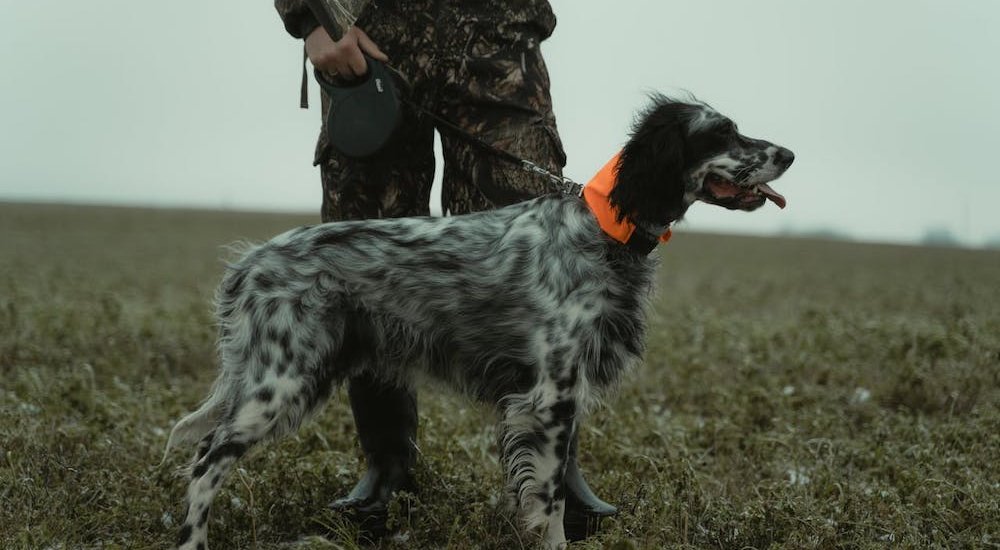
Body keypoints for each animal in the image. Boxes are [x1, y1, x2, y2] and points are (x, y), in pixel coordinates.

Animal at [166, 97, 796, 548]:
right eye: (722, 133)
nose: (789, 154)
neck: (602, 228)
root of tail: (250, 262)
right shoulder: (548, 398)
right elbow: (549, 500)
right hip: (279, 383)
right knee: (205, 463)